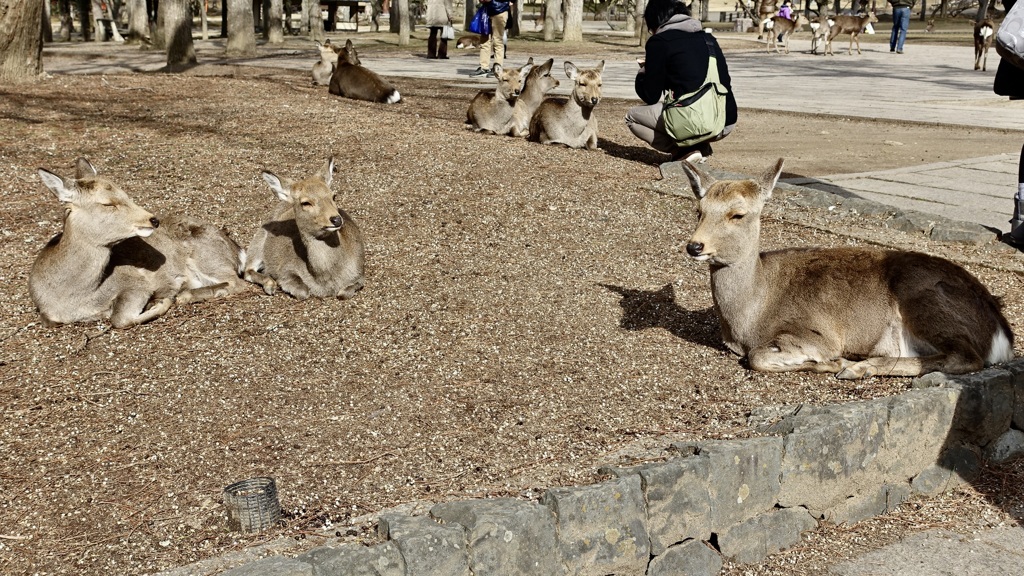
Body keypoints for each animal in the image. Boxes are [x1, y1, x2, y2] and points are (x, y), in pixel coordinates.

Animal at [30, 156, 244, 327]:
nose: (153, 219)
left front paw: (160, 302)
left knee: (237, 282)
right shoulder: (48, 315)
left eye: (126, 195)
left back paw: (184, 294)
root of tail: (236, 248)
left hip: (208, 257)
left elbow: (119, 319)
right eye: (107, 203)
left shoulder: (136, 282)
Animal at [242, 156, 364, 301]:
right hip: (258, 241)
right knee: (247, 270)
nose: (336, 219)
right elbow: (302, 291)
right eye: (306, 203)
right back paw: (270, 286)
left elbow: (344, 293)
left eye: (333, 196)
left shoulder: (360, 272)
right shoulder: (286, 268)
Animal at [679, 156, 1015, 379]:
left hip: (926, 301)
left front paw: (833, 363)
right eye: (698, 210)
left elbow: (757, 357)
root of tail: (1002, 333)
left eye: (737, 214)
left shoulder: (816, 332)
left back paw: (858, 368)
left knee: (965, 357)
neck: (748, 320)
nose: (694, 246)